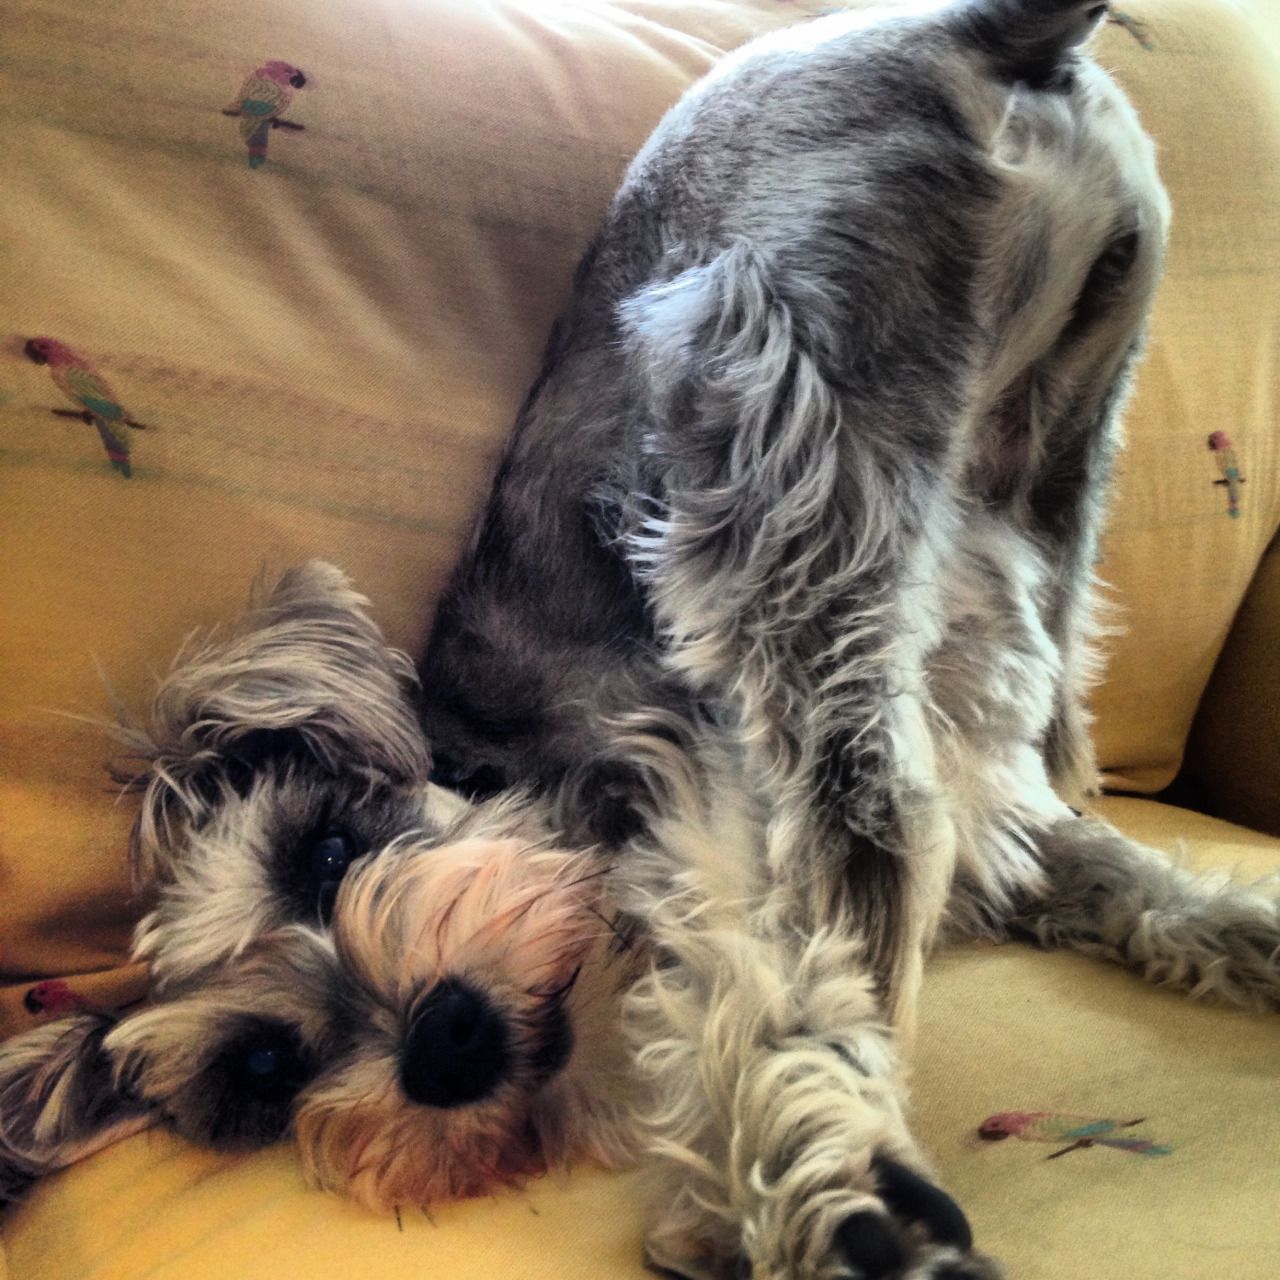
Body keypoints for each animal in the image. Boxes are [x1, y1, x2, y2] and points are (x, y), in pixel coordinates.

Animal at [2, 2, 1280, 1280]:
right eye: (263, 1067)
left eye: (323, 848)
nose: (443, 1040)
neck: (504, 773)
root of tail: (969, 35)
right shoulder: (975, 801)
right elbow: (1089, 861)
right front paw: (1242, 929)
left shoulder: (701, 795)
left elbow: (757, 983)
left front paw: (800, 1176)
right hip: (1057, 452)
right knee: (1010, 742)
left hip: (750, 421)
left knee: (868, 827)